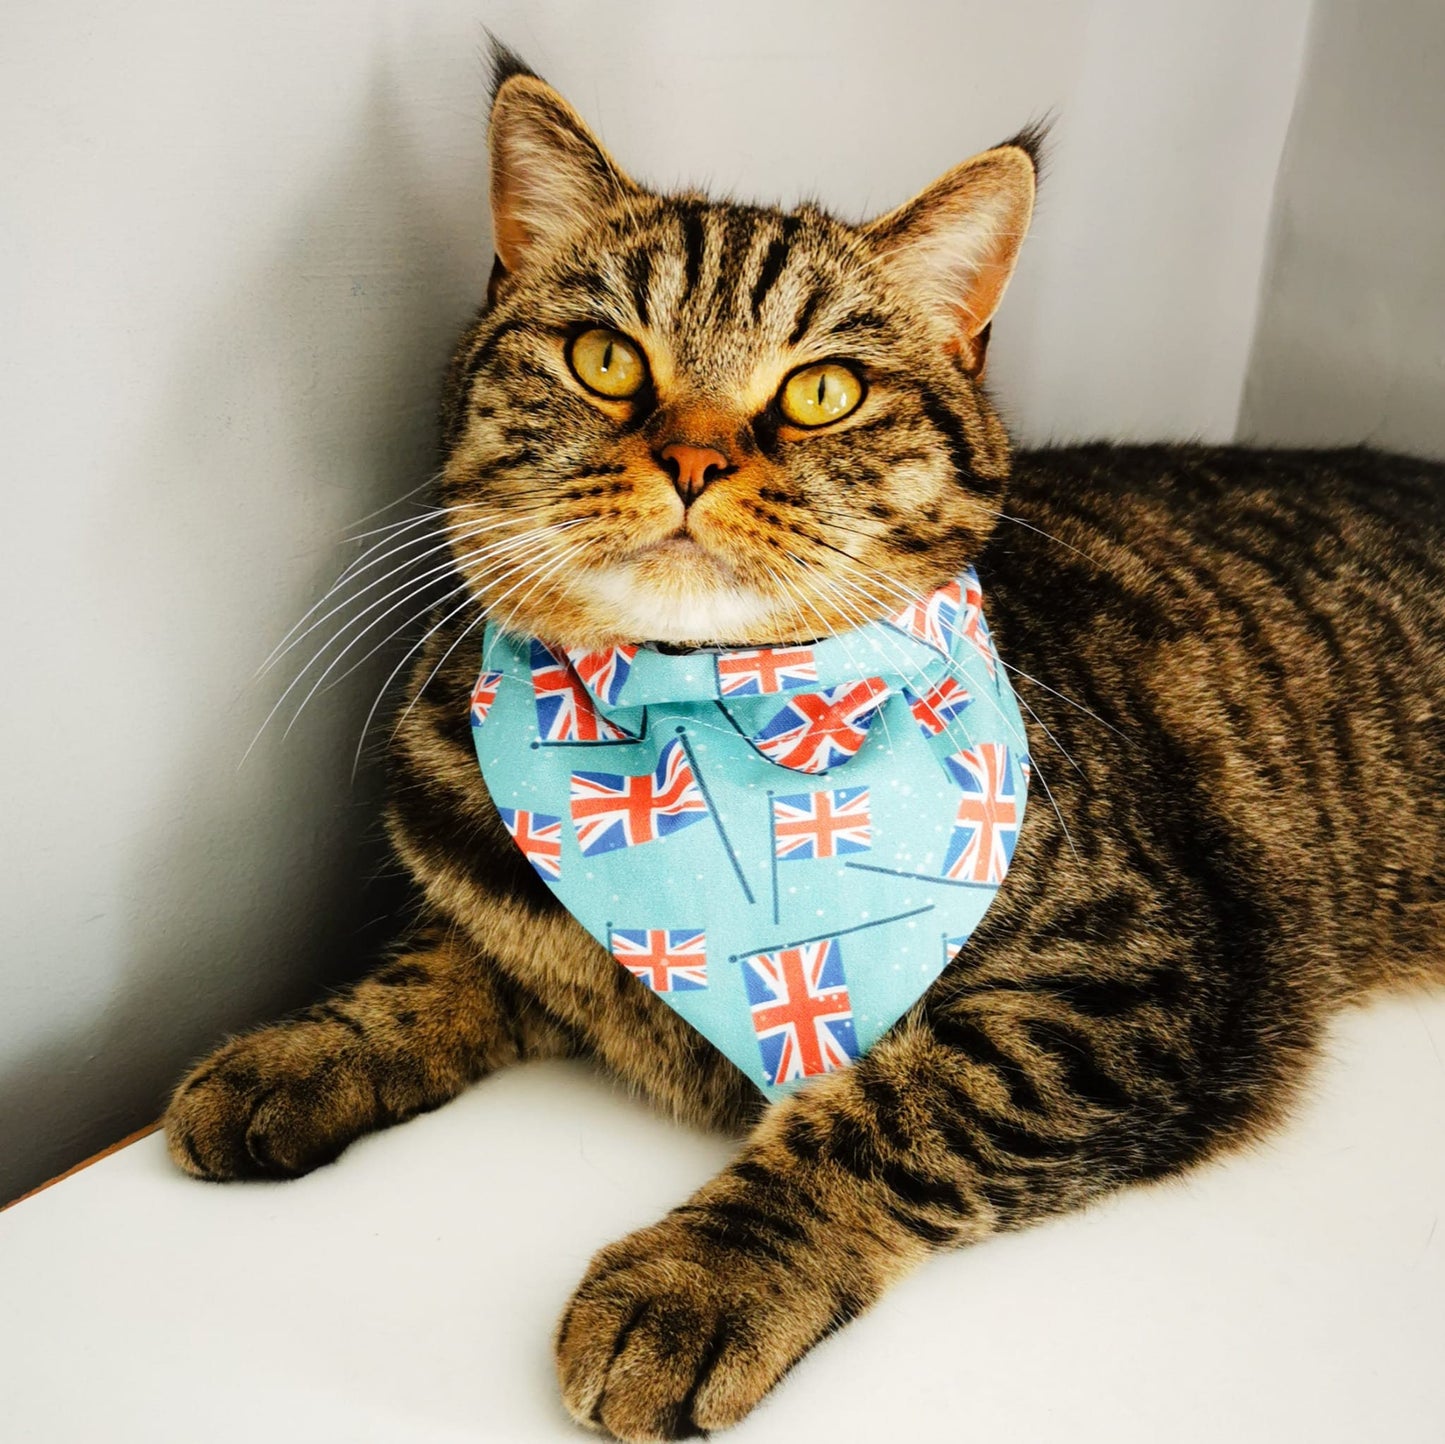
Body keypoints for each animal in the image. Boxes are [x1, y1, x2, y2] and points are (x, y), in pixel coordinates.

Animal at [161, 48, 1445, 1444]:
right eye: (605, 357)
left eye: (823, 389)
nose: (691, 456)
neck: (689, 738)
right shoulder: (496, 902)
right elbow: (434, 964)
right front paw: (302, 1049)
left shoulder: (1132, 979)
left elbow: (891, 1112)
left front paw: (698, 1278)